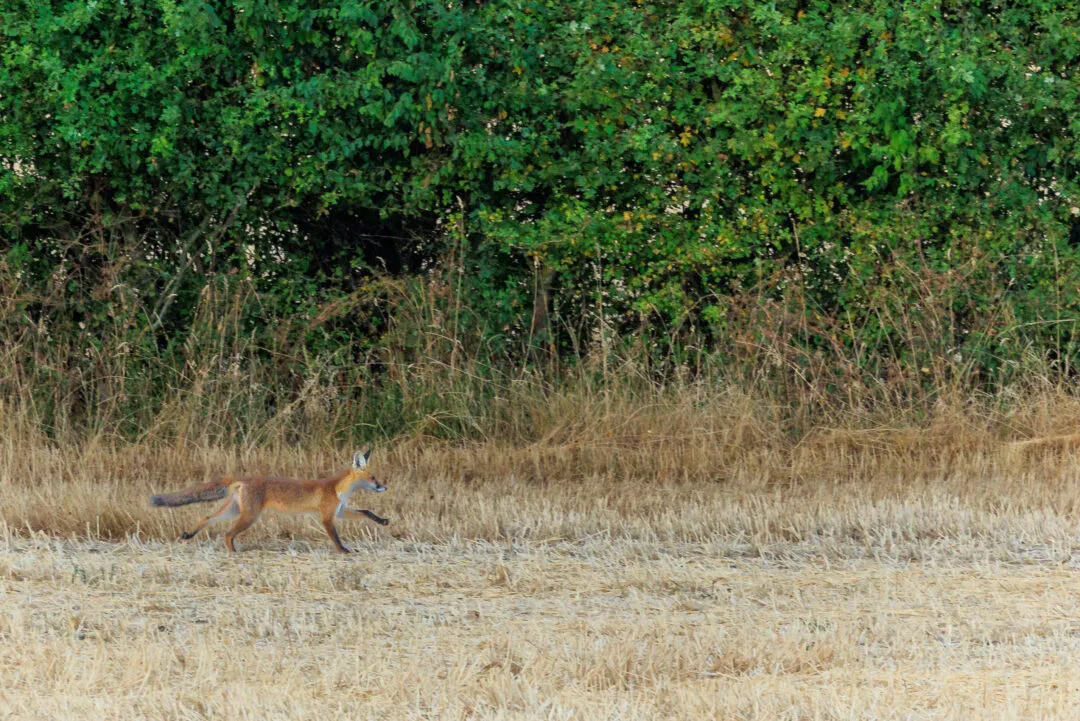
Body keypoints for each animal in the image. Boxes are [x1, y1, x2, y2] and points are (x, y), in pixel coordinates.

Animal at [150, 450, 389, 553]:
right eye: (373, 478)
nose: (384, 487)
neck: (339, 489)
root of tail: (241, 478)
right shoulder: (327, 517)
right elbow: (336, 538)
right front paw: (344, 551)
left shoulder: (340, 511)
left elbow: (366, 512)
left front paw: (383, 521)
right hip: (250, 517)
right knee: (227, 533)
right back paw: (233, 552)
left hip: (234, 511)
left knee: (208, 517)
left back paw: (189, 534)